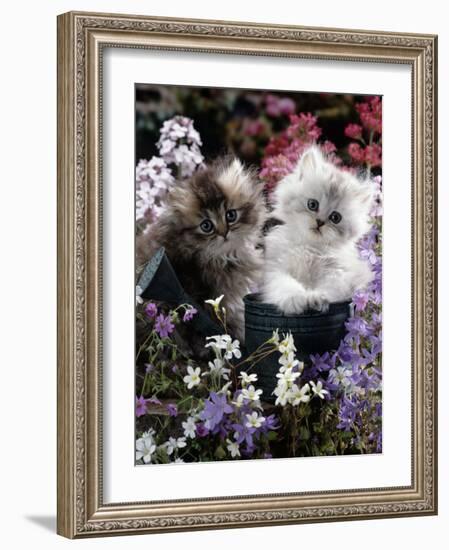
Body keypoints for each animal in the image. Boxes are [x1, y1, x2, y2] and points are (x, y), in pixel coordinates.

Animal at [262, 147, 374, 314]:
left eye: (335, 217)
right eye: (312, 204)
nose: (320, 222)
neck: (310, 247)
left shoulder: (340, 275)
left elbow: (329, 289)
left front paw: (316, 298)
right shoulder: (276, 270)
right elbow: (286, 285)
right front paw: (297, 299)